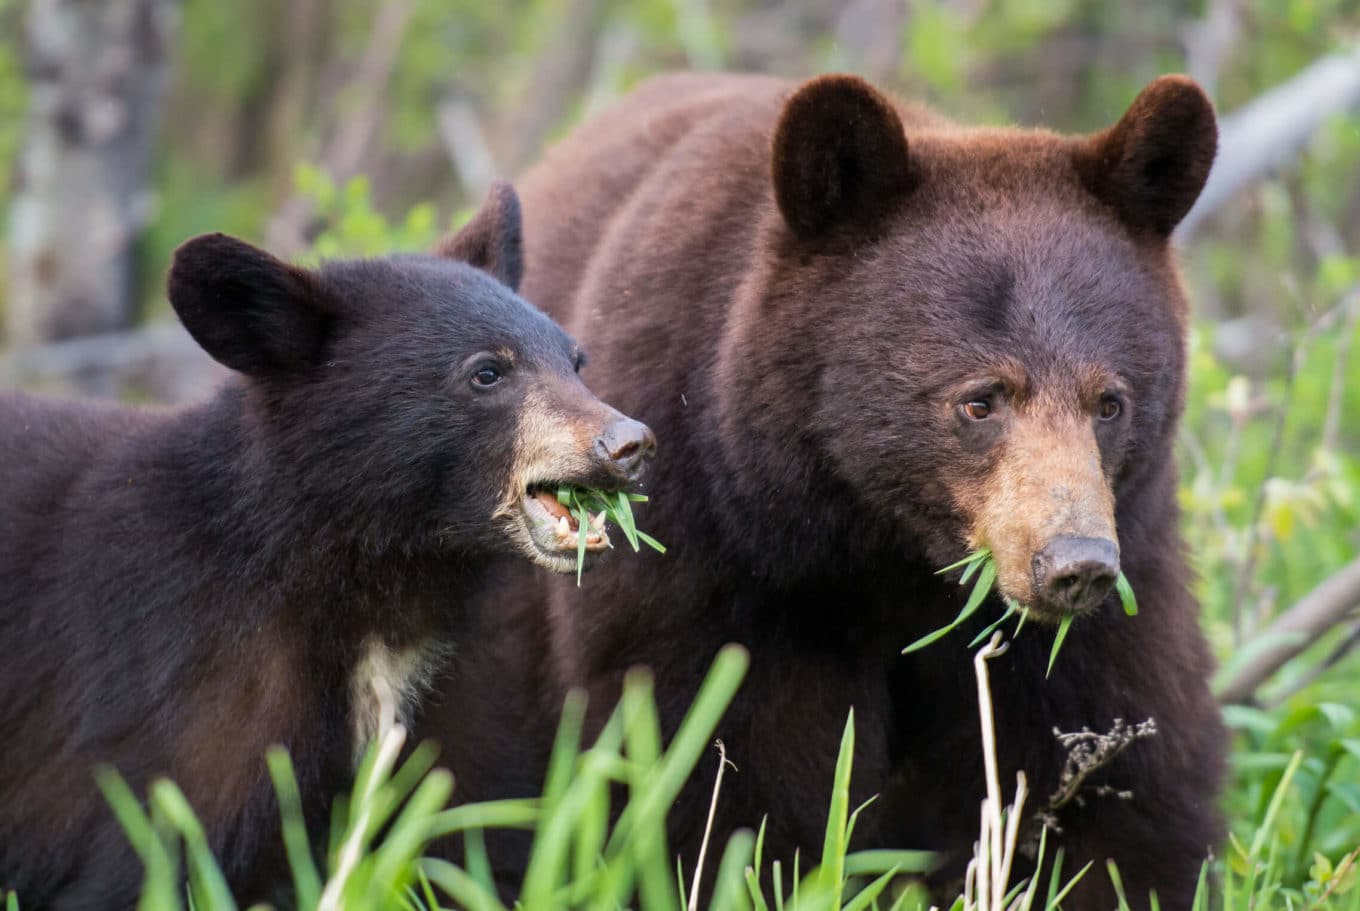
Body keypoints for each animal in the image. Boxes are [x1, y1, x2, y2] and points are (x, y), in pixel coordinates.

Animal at [0, 184, 658, 911]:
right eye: (487, 372)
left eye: (576, 360)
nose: (628, 443)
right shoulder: (176, 699)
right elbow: (142, 860)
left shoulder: (451, 692)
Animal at [418, 74, 1229, 908]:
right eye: (980, 399)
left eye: (1110, 402)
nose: (1074, 563)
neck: (889, 550)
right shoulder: (717, 557)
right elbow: (733, 779)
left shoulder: (1121, 573)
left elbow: (1123, 776)